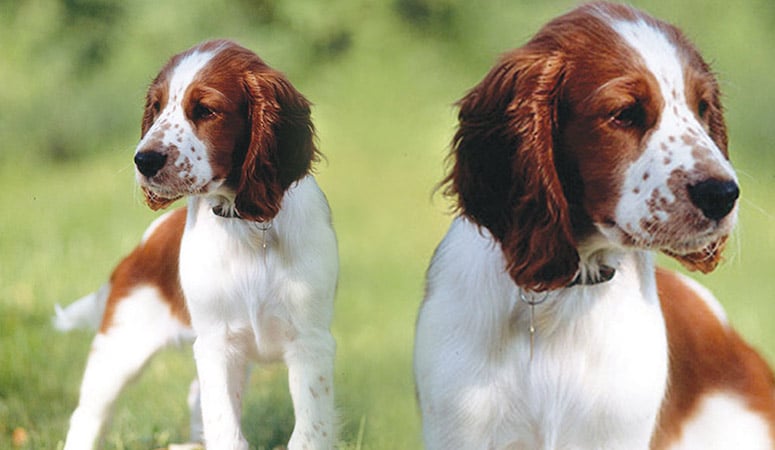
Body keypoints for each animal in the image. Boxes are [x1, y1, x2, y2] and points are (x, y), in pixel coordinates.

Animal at [59, 40, 338, 448]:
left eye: (206, 110)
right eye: (157, 107)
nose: (143, 160)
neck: (248, 225)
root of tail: (145, 242)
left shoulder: (311, 341)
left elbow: (309, 432)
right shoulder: (217, 343)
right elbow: (226, 428)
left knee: (193, 394)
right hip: (119, 349)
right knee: (88, 415)